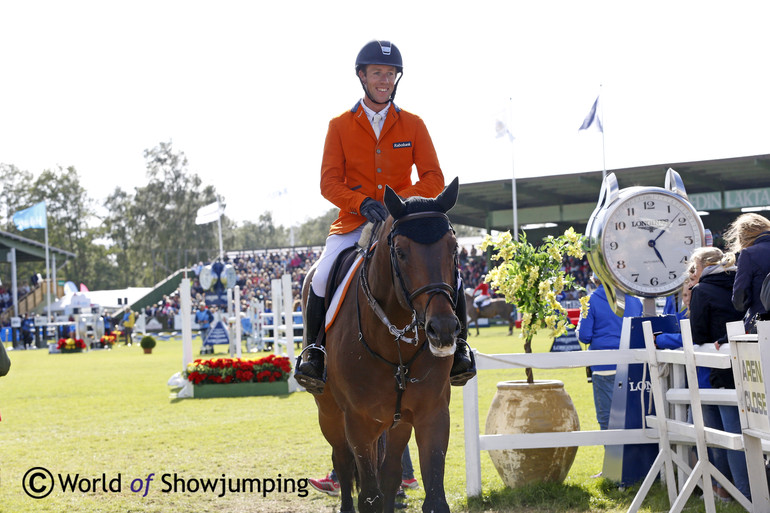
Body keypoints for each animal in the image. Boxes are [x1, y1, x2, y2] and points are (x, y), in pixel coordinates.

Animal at [304, 177, 462, 512]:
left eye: (453, 248)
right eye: (400, 252)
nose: (442, 329)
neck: (395, 341)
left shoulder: (432, 414)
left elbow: (433, 498)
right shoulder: (359, 422)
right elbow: (369, 496)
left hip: (397, 422)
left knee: (389, 474)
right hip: (330, 414)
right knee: (343, 463)